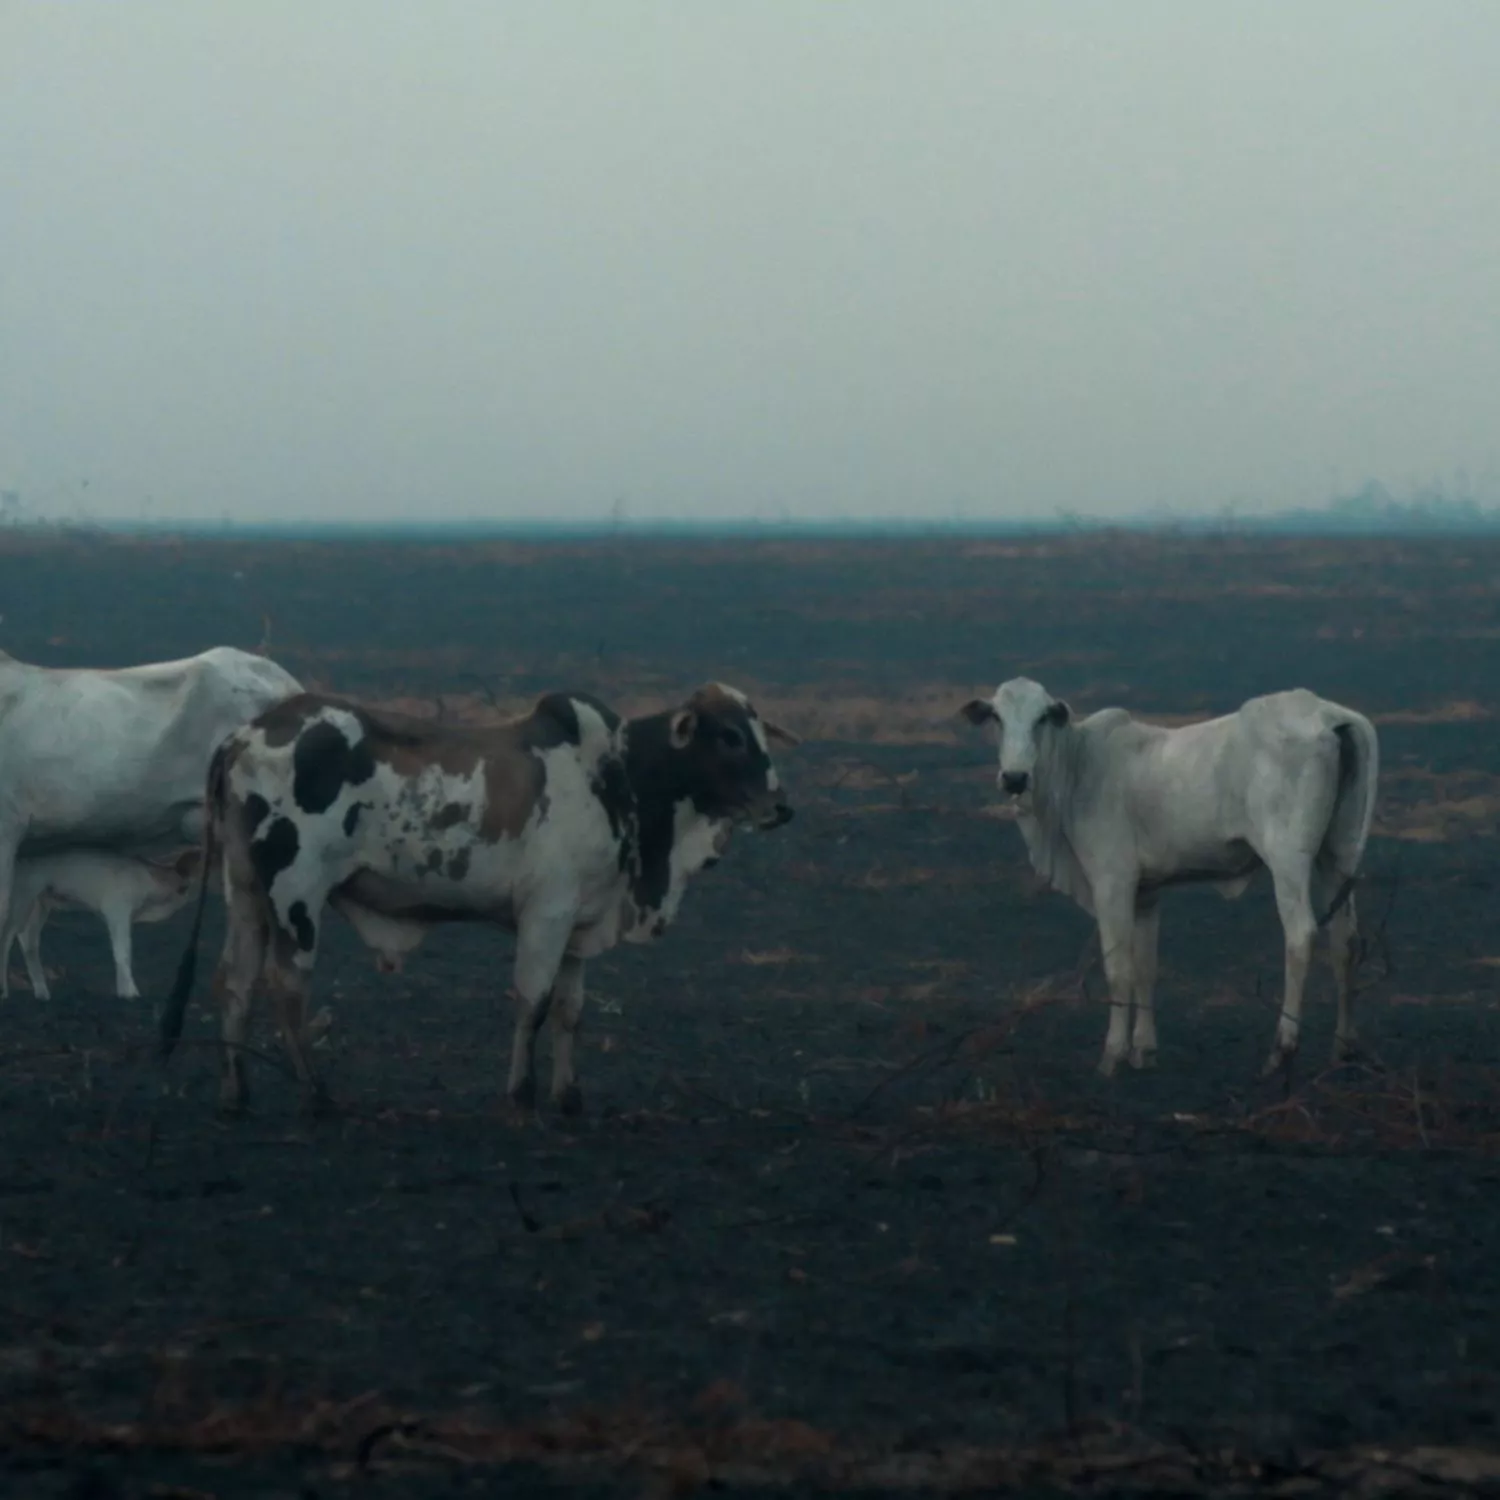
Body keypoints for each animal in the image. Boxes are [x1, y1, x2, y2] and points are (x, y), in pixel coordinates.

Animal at [2, 852, 205, 1002]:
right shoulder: (116, 908)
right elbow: (123, 951)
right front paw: (130, 994)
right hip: (20, 899)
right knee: (7, 938)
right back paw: (4, 993)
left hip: (38, 905)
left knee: (28, 942)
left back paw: (42, 994)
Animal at [158, 681, 804, 1116]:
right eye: (729, 736)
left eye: (761, 735)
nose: (780, 807)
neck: (618, 775)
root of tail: (245, 735)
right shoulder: (546, 914)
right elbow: (533, 1004)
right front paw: (520, 1094)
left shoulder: (579, 924)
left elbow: (570, 1011)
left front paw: (568, 1096)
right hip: (295, 894)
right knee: (287, 986)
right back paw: (315, 1094)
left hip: (247, 893)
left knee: (234, 982)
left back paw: (235, 1093)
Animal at [960, 681, 1380, 1080]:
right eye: (996, 717)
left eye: (1042, 718)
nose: (1014, 778)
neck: (1078, 765)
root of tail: (1328, 715)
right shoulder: (1146, 893)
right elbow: (1146, 967)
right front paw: (1143, 1050)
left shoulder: (1112, 882)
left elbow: (1118, 970)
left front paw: (1112, 1054)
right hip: (1338, 855)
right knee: (1345, 942)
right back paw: (1343, 1048)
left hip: (1288, 859)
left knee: (1300, 936)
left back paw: (1282, 1050)